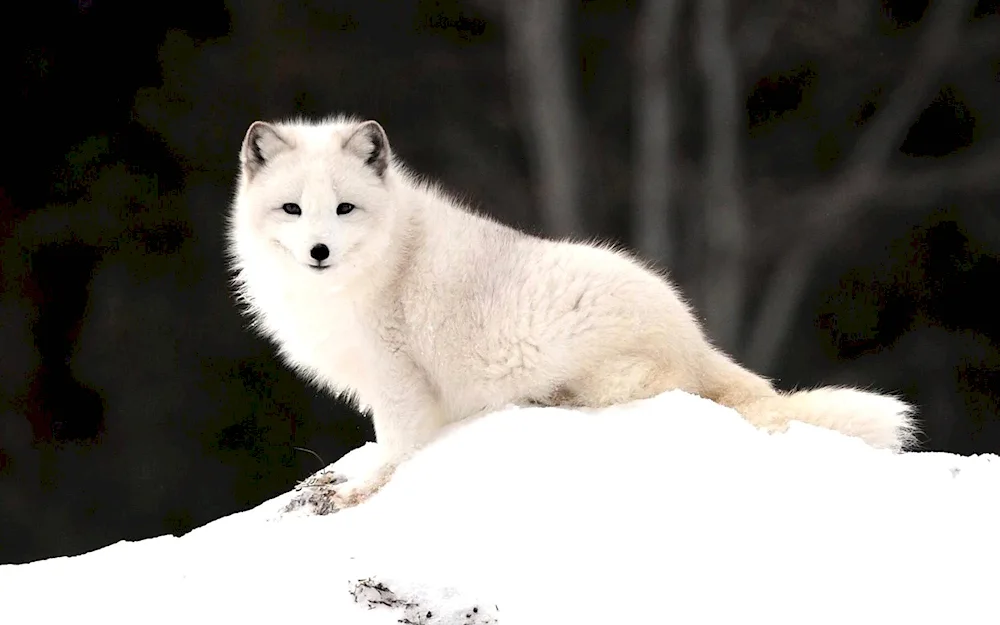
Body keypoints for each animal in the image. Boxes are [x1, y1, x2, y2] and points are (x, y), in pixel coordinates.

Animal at [227, 114, 916, 510]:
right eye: (293, 209)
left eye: (345, 208)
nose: (319, 252)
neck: (381, 259)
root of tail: (694, 334)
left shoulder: (396, 375)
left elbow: (396, 446)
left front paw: (360, 489)